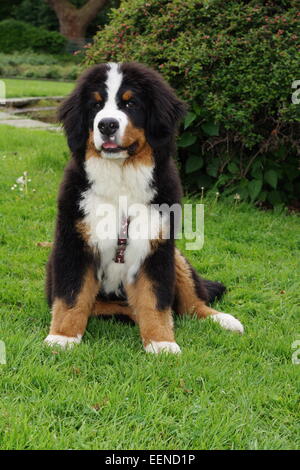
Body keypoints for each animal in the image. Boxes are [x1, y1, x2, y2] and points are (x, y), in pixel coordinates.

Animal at [44, 64, 244, 354]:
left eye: (131, 103)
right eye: (96, 105)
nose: (107, 124)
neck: (121, 181)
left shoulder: (156, 247)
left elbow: (154, 300)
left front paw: (162, 342)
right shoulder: (75, 243)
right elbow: (72, 295)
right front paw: (62, 337)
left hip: (177, 258)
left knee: (192, 303)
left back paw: (224, 320)